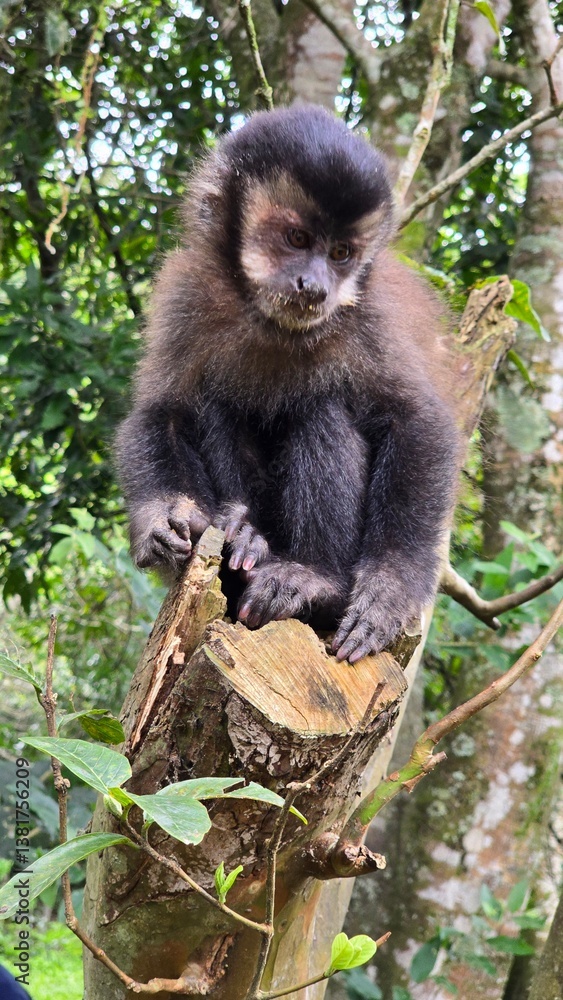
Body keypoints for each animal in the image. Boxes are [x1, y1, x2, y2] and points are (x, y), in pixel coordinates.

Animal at [116, 104, 459, 664]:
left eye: (341, 253)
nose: (315, 286)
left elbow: (418, 423)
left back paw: (313, 580)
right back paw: (244, 534)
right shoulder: (187, 288)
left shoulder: (371, 316)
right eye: (297, 240)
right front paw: (161, 519)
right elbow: (161, 412)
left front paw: (390, 589)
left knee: (323, 409)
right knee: (216, 405)